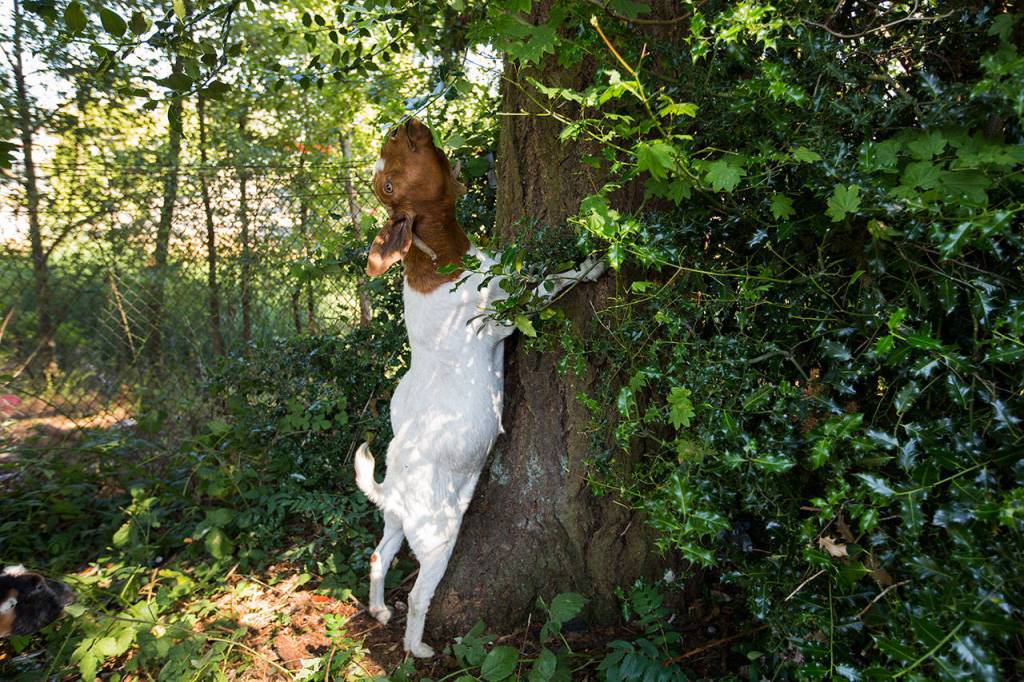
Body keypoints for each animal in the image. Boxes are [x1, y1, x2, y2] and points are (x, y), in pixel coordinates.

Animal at [354, 118, 604, 657]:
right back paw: (418, 648)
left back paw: (380, 609)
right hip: (438, 539)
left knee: (378, 556)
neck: (434, 263)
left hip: (396, 526)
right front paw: (593, 262)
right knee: (420, 596)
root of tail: (394, 491)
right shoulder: (508, 311)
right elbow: (552, 280)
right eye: (388, 185)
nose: (401, 123)